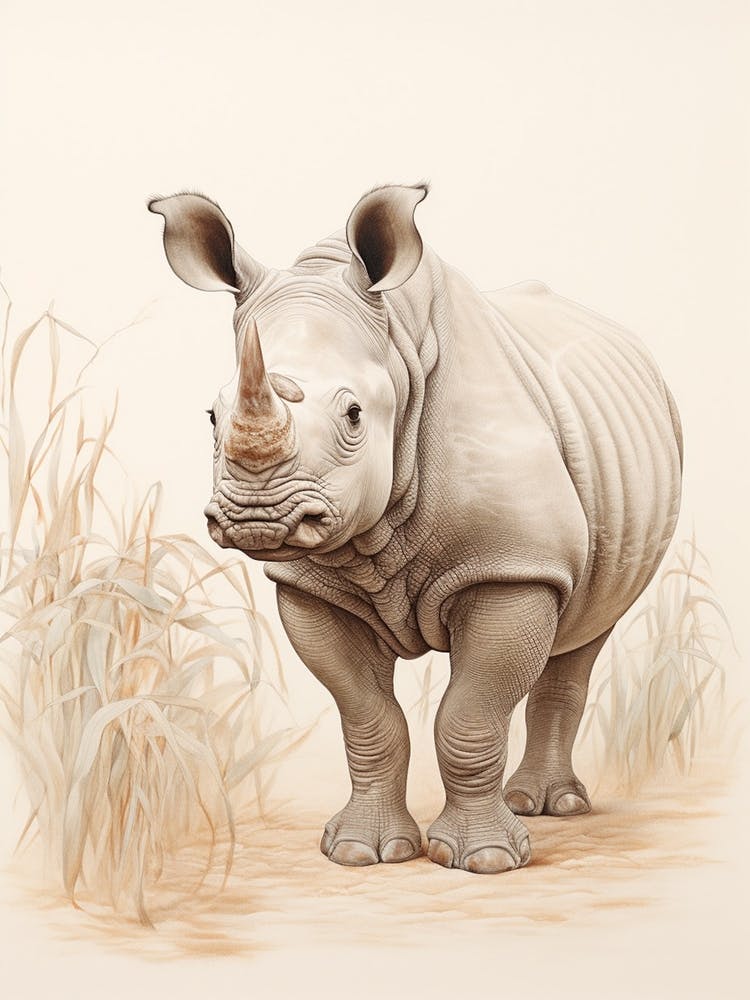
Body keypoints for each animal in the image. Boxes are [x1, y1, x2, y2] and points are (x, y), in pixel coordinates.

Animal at [149, 184, 683, 874]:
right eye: (212, 416)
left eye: (353, 414)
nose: (256, 517)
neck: (396, 348)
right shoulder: (311, 588)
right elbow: (367, 718)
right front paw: (361, 851)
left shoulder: (514, 566)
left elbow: (470, 716)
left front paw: (486, 860)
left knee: (588, 625)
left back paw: (551, 808)